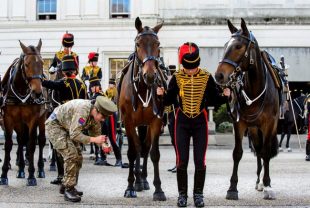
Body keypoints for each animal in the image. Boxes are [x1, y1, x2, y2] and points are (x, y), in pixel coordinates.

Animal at [0, 39, 46, 186]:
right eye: (26, 64)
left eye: (42, 63)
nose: (37, 93)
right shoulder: (8, 118)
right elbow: (9, 144)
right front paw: (4, 174)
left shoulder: (33, 119)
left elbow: (31, 144)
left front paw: (31, 175)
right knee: (21, 141)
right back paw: (20, 169)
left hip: (42, 118)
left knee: (40, 141)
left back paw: (40, 169)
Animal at [117, 17, 166, 201]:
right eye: (138, 44)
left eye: (158, 44)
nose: (150, 75)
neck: (144, 88)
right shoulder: (128, 122)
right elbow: (132, 152)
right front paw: (130, 186)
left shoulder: (156, 121)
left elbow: (153, 153)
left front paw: (158, 189)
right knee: (138, 148)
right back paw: (137, 181)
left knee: (144, 148)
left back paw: (143, 179)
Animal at [214, 19, 280, 200]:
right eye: (225, 45)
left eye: (238, 46)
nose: (219, 75)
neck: (256, 88)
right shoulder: (240, 123)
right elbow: (237, 153)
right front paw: (232, 188)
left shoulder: (269, 124)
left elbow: (266, 152)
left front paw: (268, 185)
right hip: (254, 129)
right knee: (257, 150)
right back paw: (259, 181)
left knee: (263, 152)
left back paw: (265, 182)